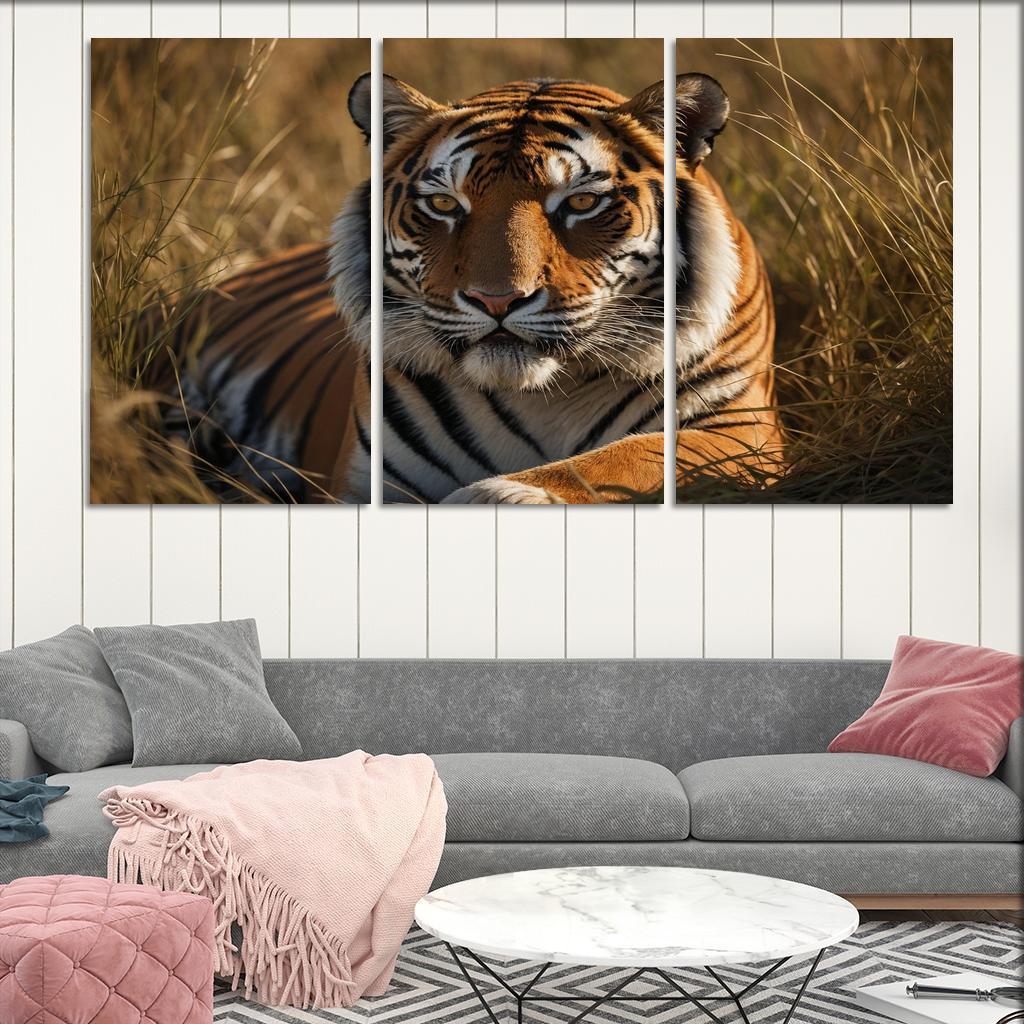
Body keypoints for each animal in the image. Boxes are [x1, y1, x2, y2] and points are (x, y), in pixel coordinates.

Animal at [148, 72, 782, 504]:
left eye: (581, 202)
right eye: (446, 205)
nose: (496, 300)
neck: (543, 397)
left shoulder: (739, 428)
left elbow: (629, 457)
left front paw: (497, 495)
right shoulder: (365, 481)